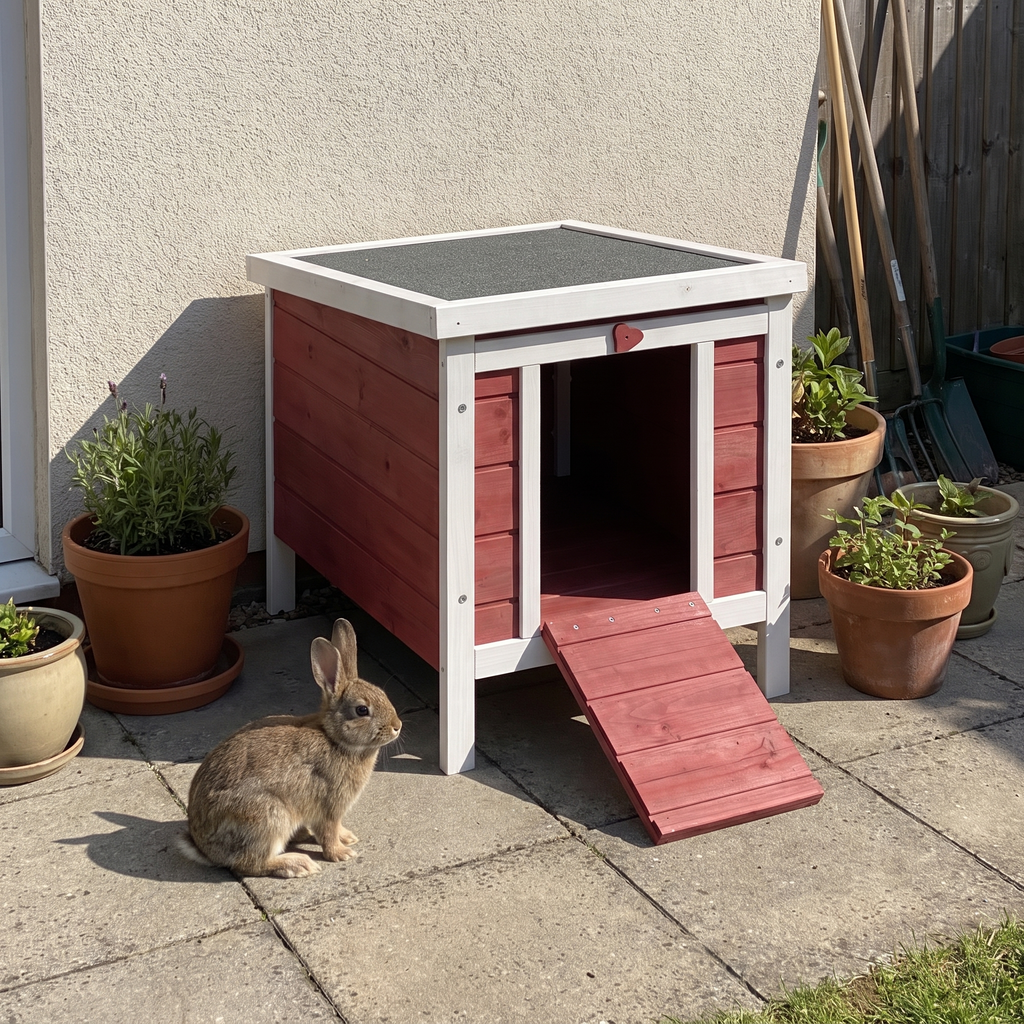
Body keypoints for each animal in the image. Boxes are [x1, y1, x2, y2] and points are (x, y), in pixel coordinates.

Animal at [177, 618, 401, 878]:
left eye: (383, 694)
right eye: (362, 710)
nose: (397, 726)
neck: (334, 738)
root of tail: (205, 849)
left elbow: (335, 829)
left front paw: (348, 837)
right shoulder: (328, 806)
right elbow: (328, 832)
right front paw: (341, 853)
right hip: (268, 816)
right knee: (250, 863)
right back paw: (298, 864)